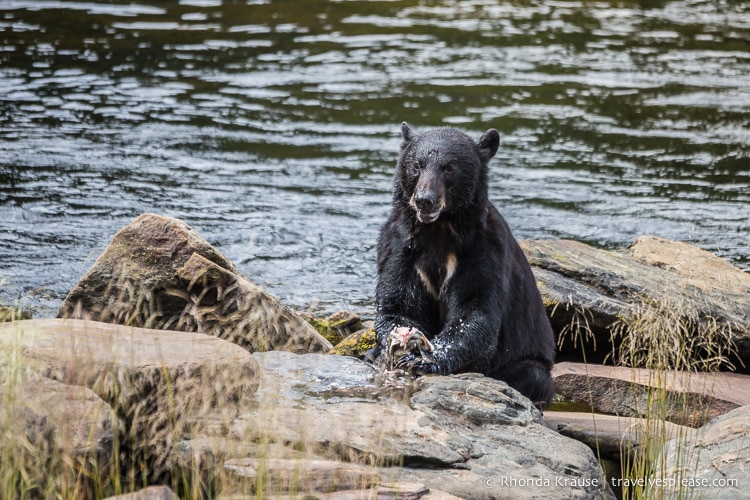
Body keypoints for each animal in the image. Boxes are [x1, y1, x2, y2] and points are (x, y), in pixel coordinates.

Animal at [372, 123, 556, 408]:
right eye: (417, 165)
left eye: (449, 168)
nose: (425, 200)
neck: (437, 230)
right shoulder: (400, 246)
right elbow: (399, 301)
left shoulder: (483, 249)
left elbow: (475, 309)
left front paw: (424, 358)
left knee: (532, 375)